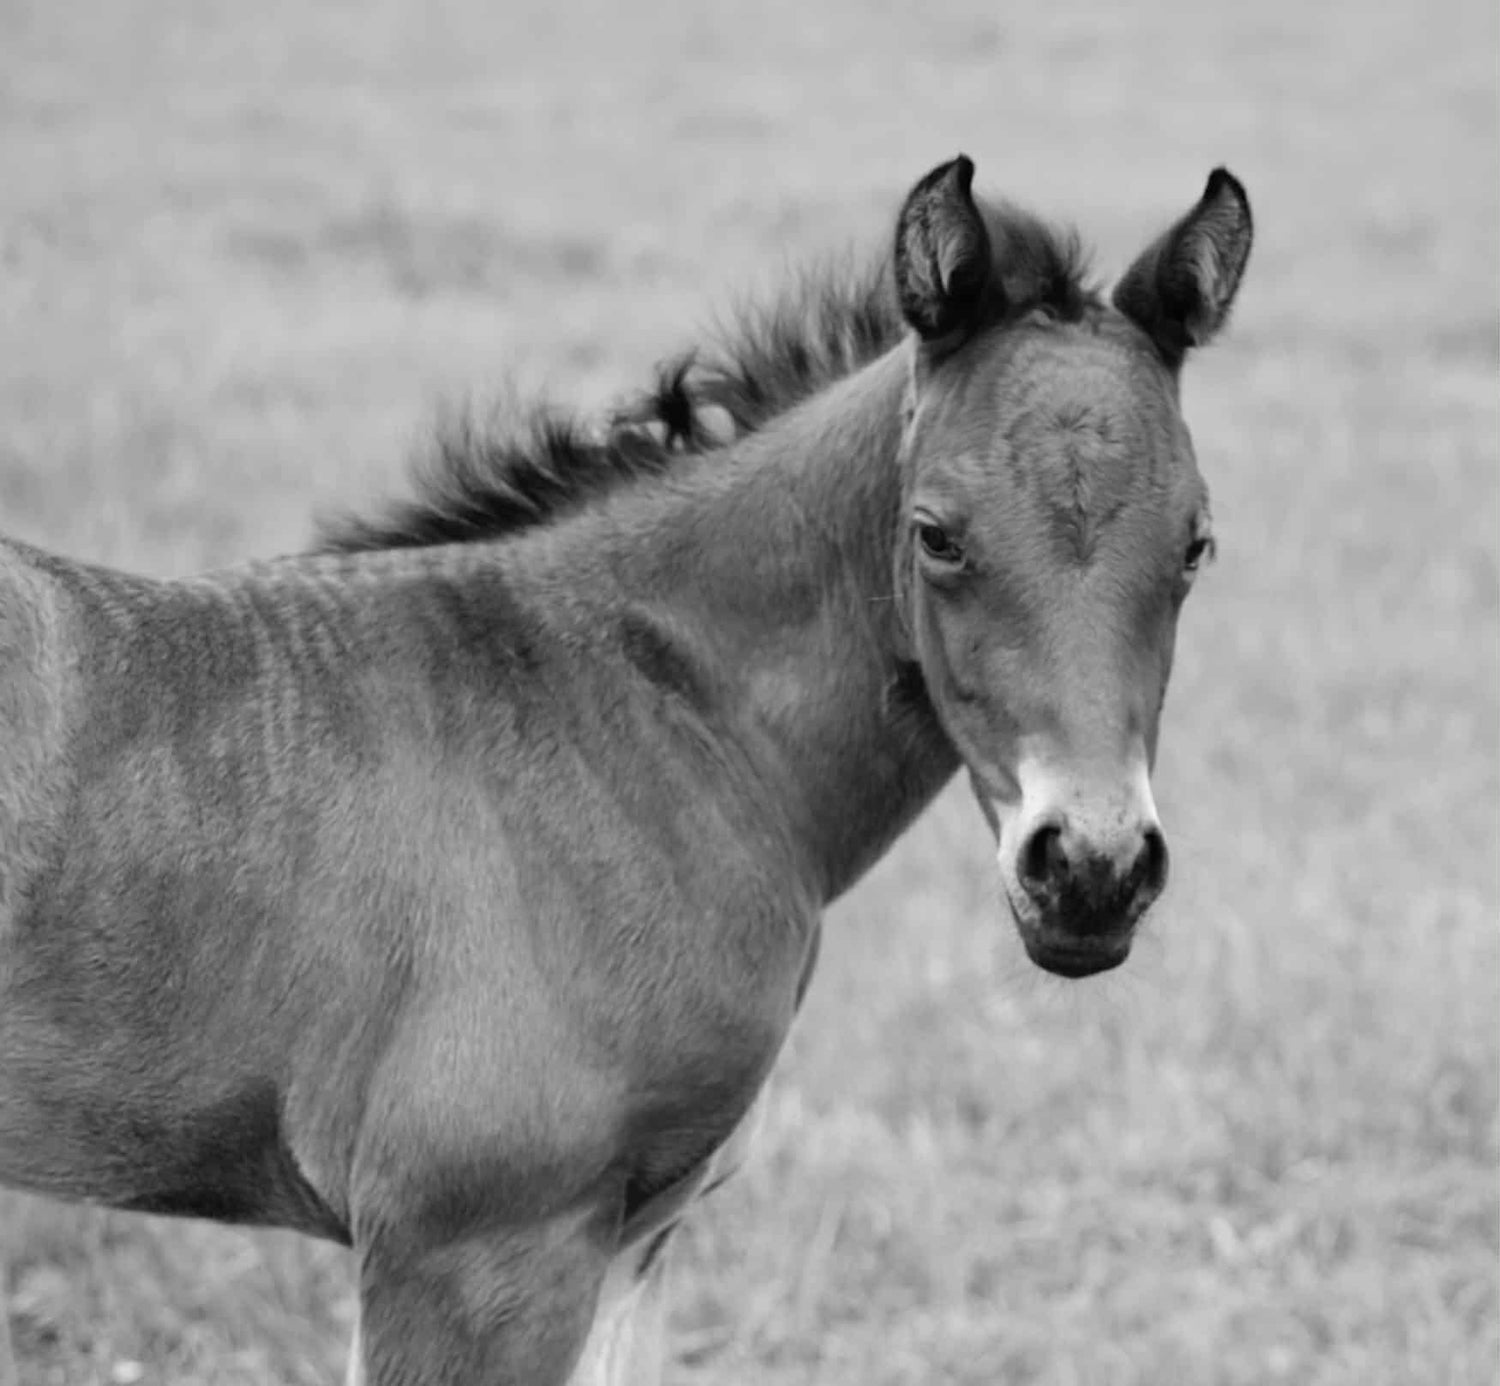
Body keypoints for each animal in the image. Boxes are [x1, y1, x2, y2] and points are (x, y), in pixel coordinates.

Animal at [0, 154, 1252, 1384]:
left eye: (1196, 545)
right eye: (937, 535)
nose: (1090, 872)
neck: (642, 713)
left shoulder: (634, 1236)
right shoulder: (475, 1250)